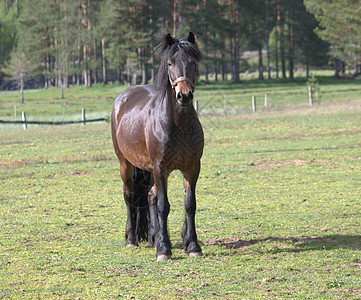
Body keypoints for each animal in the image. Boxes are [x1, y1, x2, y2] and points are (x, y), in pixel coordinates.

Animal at [110, 32, 202, 262]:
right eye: (170, 63)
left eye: (193, 62)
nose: (184, 95)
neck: (177, 124)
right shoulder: (161, 168)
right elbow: (163, 206)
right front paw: (164, 250)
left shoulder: (192, 168)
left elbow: (189, 205)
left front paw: (192, 246)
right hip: (125, 164)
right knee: (130, 196)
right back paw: (132, 239)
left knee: (150, 196)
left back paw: (154, 238)